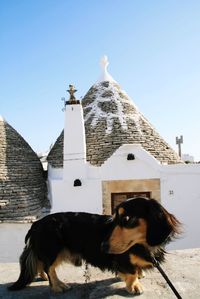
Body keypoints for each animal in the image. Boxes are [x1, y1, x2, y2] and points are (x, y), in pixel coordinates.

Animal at [8, 198, 180, 294]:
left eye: (127, 219)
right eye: (115, 218)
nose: (103, 247)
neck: (142, 245)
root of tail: (36, 224)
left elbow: (136, 269)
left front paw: (140, 274)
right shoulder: (123, 259)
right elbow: (131, 273)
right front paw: (134, 286)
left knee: (42, 265)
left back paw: (43, 277)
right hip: (53, 250)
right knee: (49, 268)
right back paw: (58, 286)